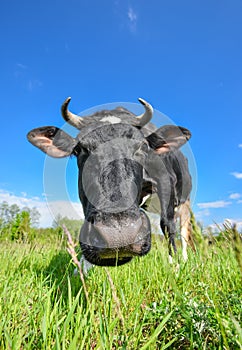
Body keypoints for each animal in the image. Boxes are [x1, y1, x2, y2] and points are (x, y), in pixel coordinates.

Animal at [27, 97, 193, 266]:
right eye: (79, 149)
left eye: (143, 146)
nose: (119, 234)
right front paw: (82, 267)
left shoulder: (166, 180)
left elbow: (167, 224)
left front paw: (175, 264)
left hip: (185, 203)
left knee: (183, 231)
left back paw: (185, 259)